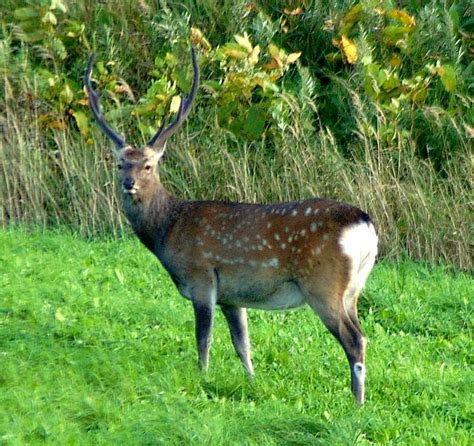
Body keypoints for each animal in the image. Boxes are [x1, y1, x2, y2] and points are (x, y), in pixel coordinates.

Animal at [85, 46, 378, 404]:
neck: (168, 230)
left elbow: (204, 338)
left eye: (149, 165)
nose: (129, 183)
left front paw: (202, 377)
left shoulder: (201, 277)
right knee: (361, 333)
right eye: (120, 163)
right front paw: (252, 382)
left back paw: (358, 401)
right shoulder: (231, 296)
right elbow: (243, 344)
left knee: (355, 339)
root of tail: (363, 225)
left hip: (322, 284)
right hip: (353, 289)